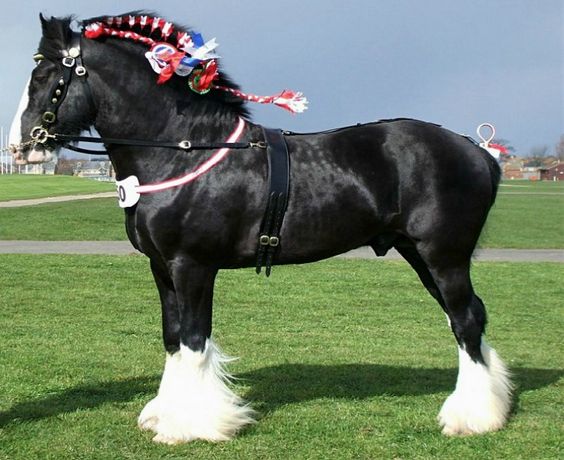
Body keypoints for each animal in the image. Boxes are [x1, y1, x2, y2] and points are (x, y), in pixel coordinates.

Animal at [8, 14, 512, 444]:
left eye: (44, 77)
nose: (19, 147)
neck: (182, 150)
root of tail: (477, 150)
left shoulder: (193, 267)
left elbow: (194, 339)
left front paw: (191, 425)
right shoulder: (161, 268)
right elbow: (173, 337)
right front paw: (164, 413)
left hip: (443, 256)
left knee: (465, 320)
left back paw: (472, 417)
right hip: (421, 255)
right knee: (467, 317)